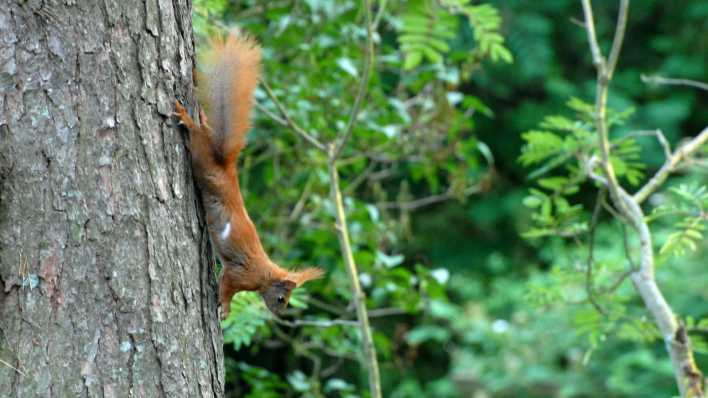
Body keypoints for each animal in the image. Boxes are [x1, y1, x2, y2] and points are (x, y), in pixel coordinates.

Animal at [174, 31, 324, 318]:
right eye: (281, 298)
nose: (280, 313)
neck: (265, 274)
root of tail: (226, 166)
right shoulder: (241, 274)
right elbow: (227, 287)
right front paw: (224, 309)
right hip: (200, 158)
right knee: (196, 135)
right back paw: (187, 117)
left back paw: (201, 117)